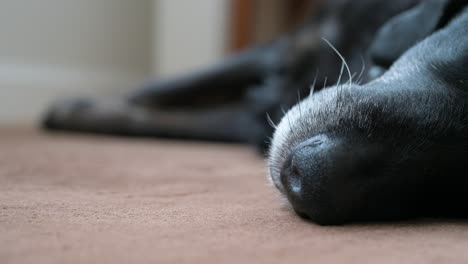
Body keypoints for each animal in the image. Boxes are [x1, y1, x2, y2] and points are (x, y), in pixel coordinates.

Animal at [44, 0, 468, 225]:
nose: (308, 179)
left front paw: (79, 112)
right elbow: (165, 87)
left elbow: (166, 120)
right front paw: (76, 106)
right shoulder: (286, 48)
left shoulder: (249, 120)